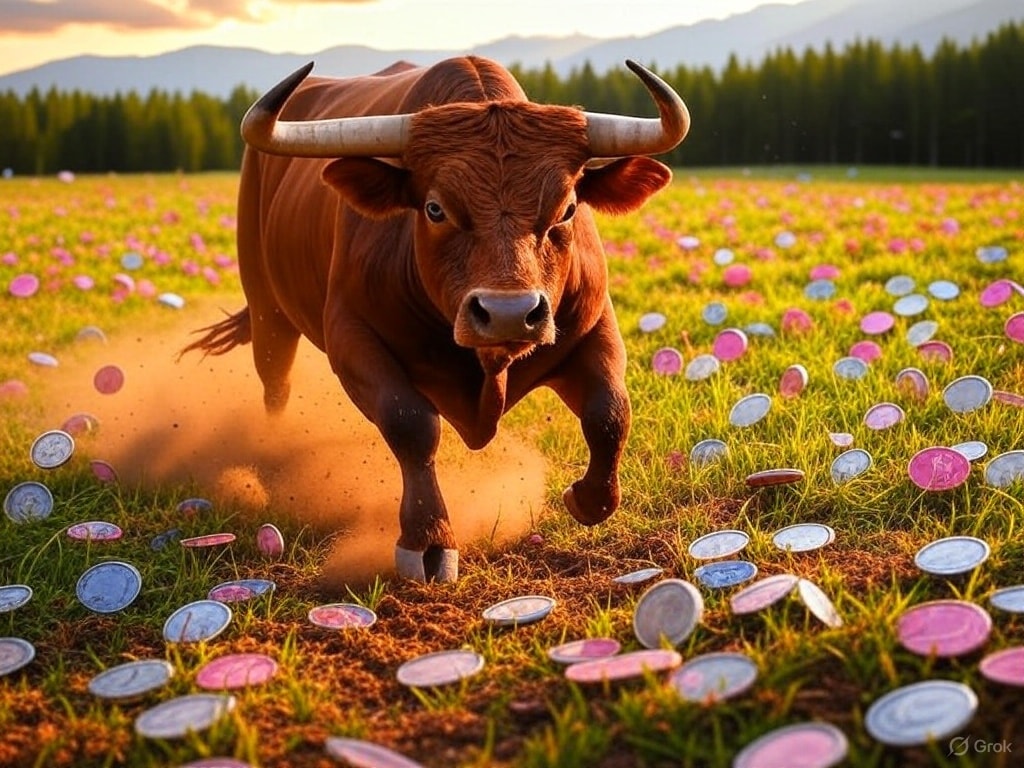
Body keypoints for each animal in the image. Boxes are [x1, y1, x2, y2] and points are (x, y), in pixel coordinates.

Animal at [182, 56, 689, 582]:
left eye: (567, 208)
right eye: (434, 208)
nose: (509, 314)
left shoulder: (594, 330)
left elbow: (610, 412)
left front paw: (587, 498)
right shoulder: (353, 338)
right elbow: (411, 424)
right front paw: (428, 539)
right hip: (268, 310)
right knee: (276, 385)